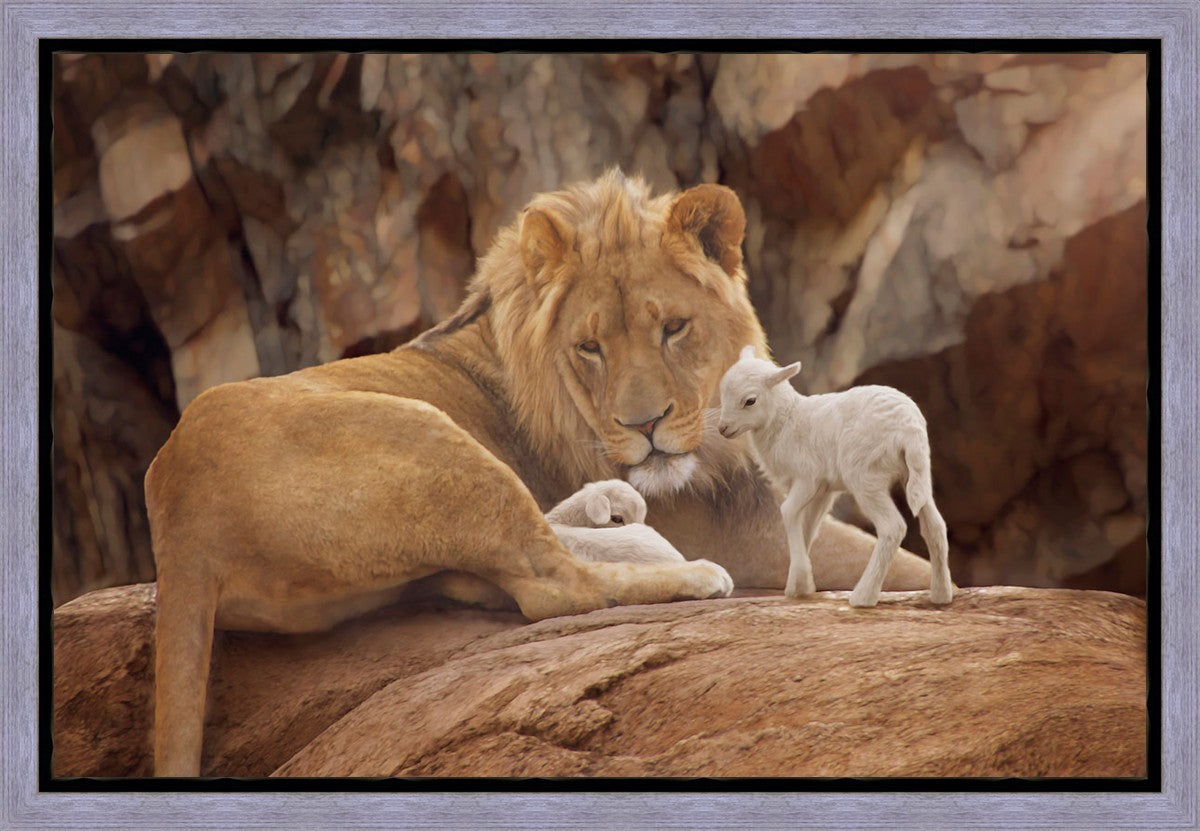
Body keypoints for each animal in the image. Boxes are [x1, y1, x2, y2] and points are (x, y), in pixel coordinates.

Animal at [717, 346, 953, 608]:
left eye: (750, 400)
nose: (722, 428)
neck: (786, 420)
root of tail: (909, 429)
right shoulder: (824, 489)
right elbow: (808, 527)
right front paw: (799, 584)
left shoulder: (807, 478)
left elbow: (788, 512)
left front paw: (800, 581)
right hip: (917, 473)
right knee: (935, 526)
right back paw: (941, 594)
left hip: (865, 476)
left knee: (893, 527)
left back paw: (863, 596)